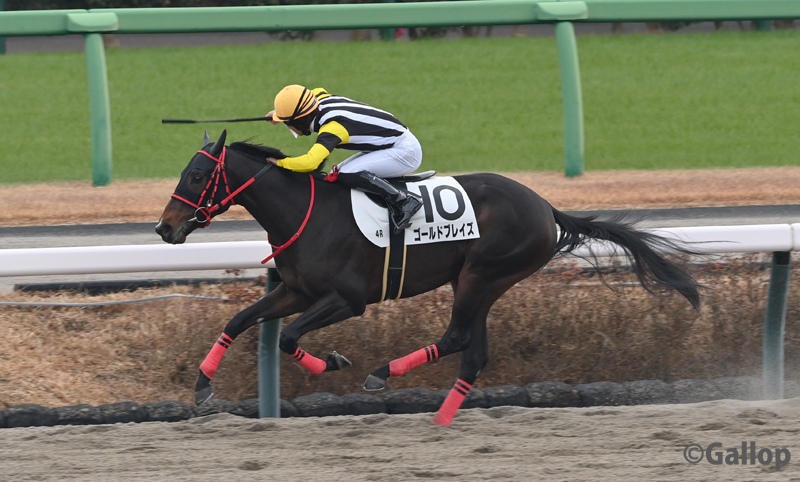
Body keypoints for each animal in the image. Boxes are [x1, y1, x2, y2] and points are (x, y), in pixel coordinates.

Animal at [156, 130, 701, 426]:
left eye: (197, 177)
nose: (165, 228)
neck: (304, 213)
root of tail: (546, 207)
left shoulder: (347, 299)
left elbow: (288, 337)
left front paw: (334, 362)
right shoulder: (295, 290)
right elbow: (240, 321)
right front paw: (202, 387)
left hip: (483, 273)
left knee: (458, 337)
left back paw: (383, 374)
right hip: (479, 281)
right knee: (474, 352)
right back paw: (440, 418)